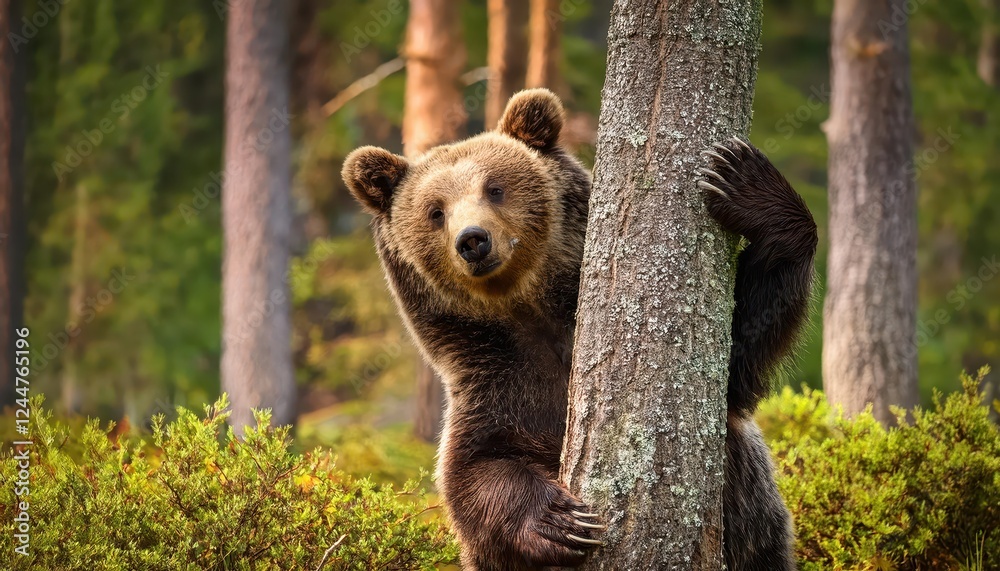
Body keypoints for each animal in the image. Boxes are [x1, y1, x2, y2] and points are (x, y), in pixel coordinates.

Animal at [342, 88, 817, 571]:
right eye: (435, 212)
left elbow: (739, 354)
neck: (532, 314)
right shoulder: (495, 379)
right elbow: (477, 469)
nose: (472, 239)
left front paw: (744, 179)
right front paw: (560, 520)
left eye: (495, 188)